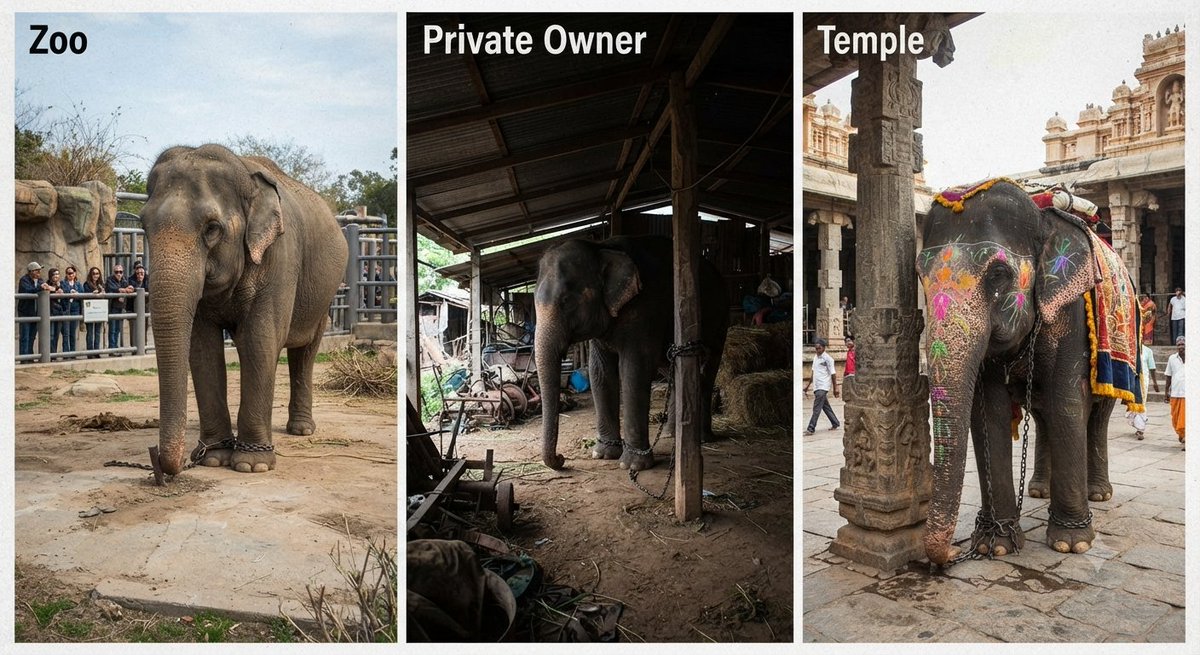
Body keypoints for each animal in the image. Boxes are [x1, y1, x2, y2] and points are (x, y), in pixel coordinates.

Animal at [141, 144, 349, 475]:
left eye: (212, 228)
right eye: (143, 226)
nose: (164, 466)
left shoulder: (280, 257)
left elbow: (259, 341)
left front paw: (252, 465)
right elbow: (203, 348)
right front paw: (214, 458)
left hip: (325, 293)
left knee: (305, 350)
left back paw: (301, 430)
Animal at [534, 235, 728, 472]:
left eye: (566, 301)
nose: (561, 458)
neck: (601, 248)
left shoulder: (645, 309)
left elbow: (634, 369)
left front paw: (632, 465)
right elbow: (599, 372)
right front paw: (603, 454)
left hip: (721, 319)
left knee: (707, 371)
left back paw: (703, 438)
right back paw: (672, 434)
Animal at [916, 178, 1142, 565]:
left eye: (998, 274)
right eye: (919, 275)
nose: (953, 552)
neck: (1042, 220)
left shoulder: (1073, 312)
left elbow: (1068, 402)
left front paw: (1071, 544)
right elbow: (988, 412)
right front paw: (993, 545)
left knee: (1097, 414)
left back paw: (1098, 494)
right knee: (1042, 414)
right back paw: (1038, 491)